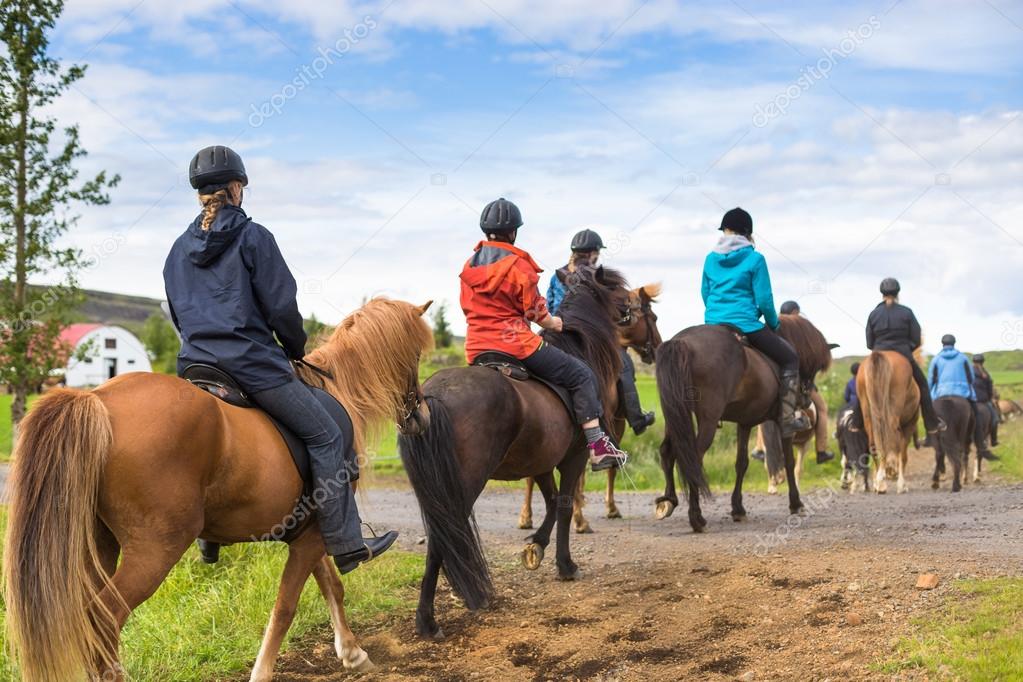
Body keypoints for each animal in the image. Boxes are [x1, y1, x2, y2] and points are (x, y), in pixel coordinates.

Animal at [0, 298, 431, 682]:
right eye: (415, 356)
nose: (421, 417)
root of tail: (97, 399)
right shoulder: (316, 533)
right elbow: (286, 606)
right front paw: (263, 672)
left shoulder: (309, 532)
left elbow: (331, 587)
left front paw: (353, 653)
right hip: (154, 550)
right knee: (103, 621)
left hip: (96, 544)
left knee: (86, 623)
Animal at [396, 265, 621, 642]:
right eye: (621, 291)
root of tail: (432, 398)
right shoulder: (572, 458)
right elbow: (563, 505)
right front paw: (565, 564)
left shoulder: (541, 462)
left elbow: (550, 502)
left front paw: (536, 545)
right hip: (463, 487)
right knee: (443, 539)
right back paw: (428, 621)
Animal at [519, 282, 662, 531]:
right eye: (652, 317)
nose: (658, 347)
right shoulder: (615, 423)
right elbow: (609, 467)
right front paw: (607, 509)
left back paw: (526, 517)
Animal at [650, 314, 834, 531]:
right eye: (815, 366)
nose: (805, 400)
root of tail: (682, 342)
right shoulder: (783, 424)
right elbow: (788, 462)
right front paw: (796, 504)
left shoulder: (745, 423)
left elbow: (741, 463)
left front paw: (738, 508)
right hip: (707, 420)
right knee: (692, 459)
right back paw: (696, 517)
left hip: (675, 414)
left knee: (668, 451)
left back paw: (668, 501)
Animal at [855, 349, 920, 492]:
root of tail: (878, 355)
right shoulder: (909, 425)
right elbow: (903, 454)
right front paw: (901, 484)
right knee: (892, 441)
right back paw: (887, 479)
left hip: (868, 412)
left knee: (874, 443)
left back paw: (880, 483)